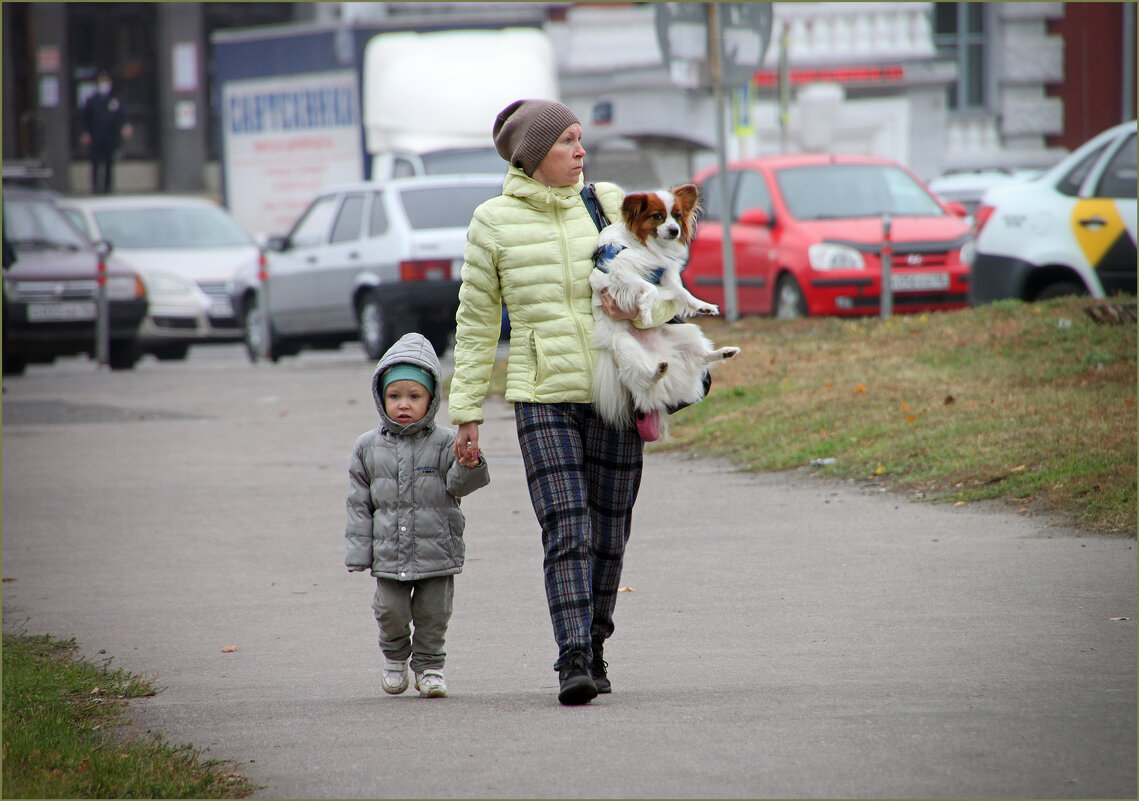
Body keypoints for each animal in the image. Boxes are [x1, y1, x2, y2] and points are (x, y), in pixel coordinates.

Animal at [587, 183, 738, 437]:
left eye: (676, 216)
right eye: (657, 216)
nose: (675, 230)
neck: (646, 244)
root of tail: (660, 356)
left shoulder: (664, 274)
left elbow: (682, 293)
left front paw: (703, 306)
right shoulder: (623, 273)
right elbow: (649, 289)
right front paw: (645, 311)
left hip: (687, 333)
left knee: (702, 357)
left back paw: (724, 352)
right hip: (626, 347)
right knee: (643, 381)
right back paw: (656, 371)